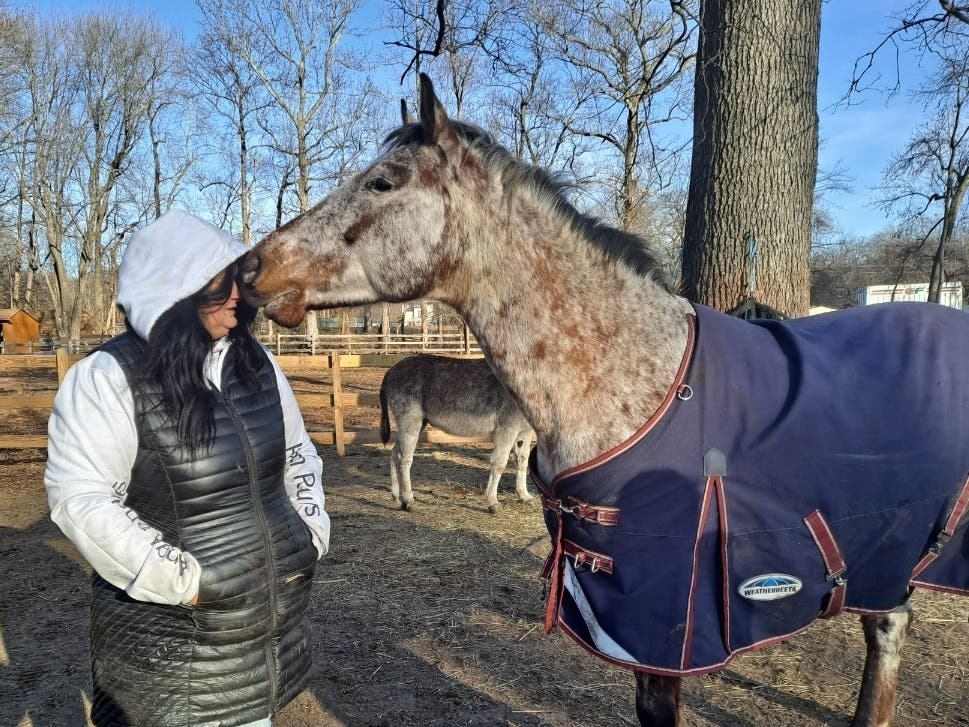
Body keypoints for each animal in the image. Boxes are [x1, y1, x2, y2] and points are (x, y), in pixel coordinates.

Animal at [379, 353, 535, 513]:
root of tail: (391, 371)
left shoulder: (525, 430)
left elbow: (522, 460)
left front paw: (524, 496)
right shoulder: (507, 427)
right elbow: (499, 463)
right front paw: (493, 502)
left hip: (418, 423)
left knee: (395, 453)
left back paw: (397, 499)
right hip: (410, 421)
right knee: (404, 459)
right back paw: (409, 501)